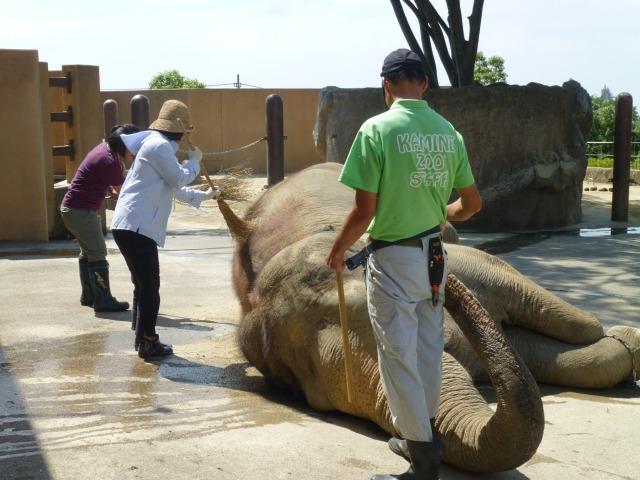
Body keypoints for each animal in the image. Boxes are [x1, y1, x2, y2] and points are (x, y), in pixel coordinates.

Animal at [216, 164, 640, 472]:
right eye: (310, 392)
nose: (398, 443)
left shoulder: (470, 266)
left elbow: (538, 302)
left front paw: (619, 336)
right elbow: (531, 351)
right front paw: (622, 347)